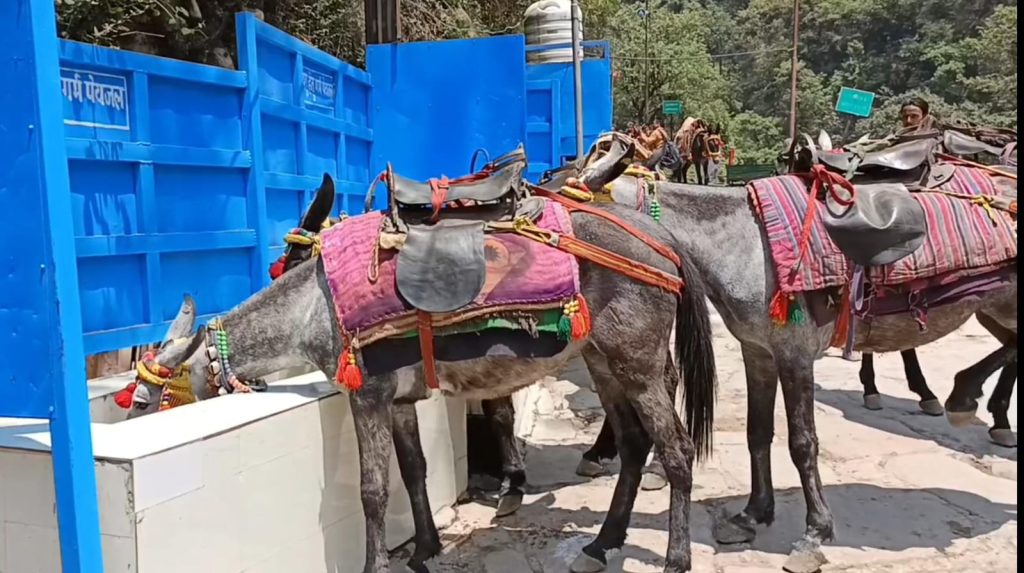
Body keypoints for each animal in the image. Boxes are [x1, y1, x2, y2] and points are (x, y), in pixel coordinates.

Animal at [127, 143, 719, 573]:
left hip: (639, 363)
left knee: (676, 449)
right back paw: (602, 543)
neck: (315, 302)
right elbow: (414, 472)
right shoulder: (399, 400)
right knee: (635, 442)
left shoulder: (366, 394)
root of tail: (661, 239)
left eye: (152, 399)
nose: (134, 417)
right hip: (603, 361)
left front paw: (376, 566)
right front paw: (424, 549)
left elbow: (372, 490)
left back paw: (675, 557)